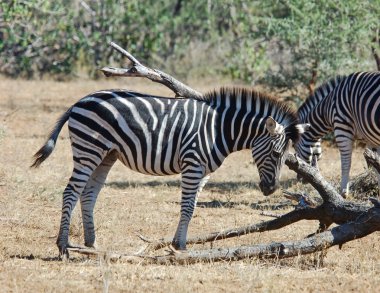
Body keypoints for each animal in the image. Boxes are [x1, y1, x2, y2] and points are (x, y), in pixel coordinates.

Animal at [31, 86, 308, 256]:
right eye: (276, 154)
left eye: (286, 156)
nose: (270, 189)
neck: (218, 129)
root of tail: (80, 101)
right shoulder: (193, 164)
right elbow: (186, 206)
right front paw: (182, 247)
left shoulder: (204, 171)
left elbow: (193, 206)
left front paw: (178, 243)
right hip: (89, 149)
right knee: (70, 192)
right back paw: (63, 247)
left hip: (106, 155)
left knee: (88, 195)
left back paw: (92, 244)